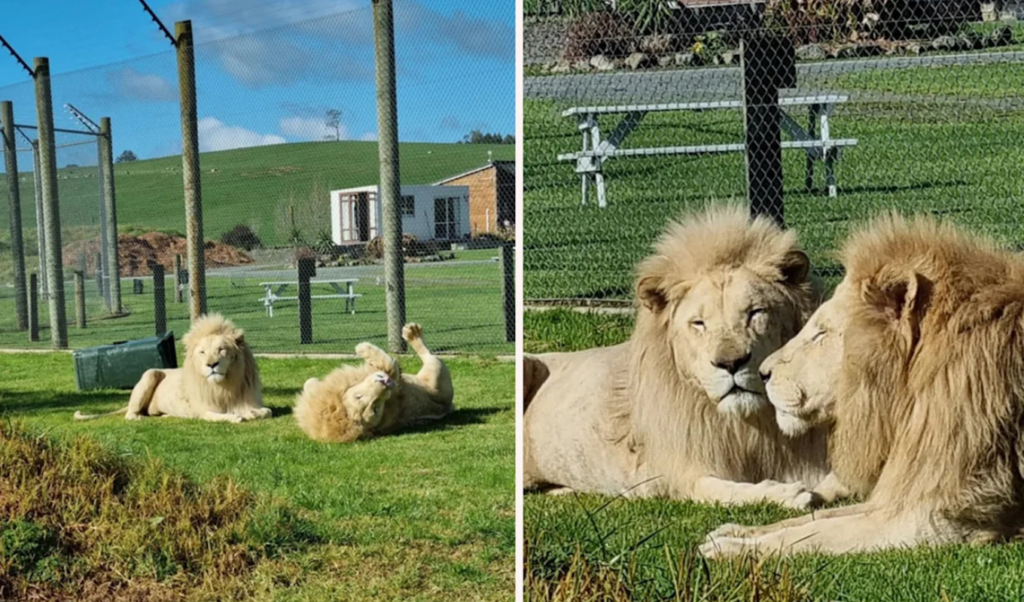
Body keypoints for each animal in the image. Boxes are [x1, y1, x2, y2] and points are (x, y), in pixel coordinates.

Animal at [73, 314, 270, 424]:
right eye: (202, 352)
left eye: (221, 349)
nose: (211, 365)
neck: (223, 385)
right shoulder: (202, 409)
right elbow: (218, 415)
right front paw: (236, 417)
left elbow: (266, 411)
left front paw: (251, 413)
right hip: (150, 374)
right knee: (130, 414)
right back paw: (138, 417)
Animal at [294, 323, 454, 443]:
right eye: (375, 408)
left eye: (358, 396)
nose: (385, 384)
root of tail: (447, 407)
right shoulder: (395, 382)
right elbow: (391, 365)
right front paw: (363, 347)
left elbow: (308, 383)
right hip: (436, 371)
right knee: (429, 355)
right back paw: (412, 332)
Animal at [524, 205, 841, 509]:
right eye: (698, 323)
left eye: (755, 312)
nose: (730, 363)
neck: (748, 426)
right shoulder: (676, 474)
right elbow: (721, 490)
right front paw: (785, 493)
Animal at [702, 213, 1024, 558]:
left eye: (821, 332)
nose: (762, 372)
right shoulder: (901, 493)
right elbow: (815, 518)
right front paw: (736, 531)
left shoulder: (934, 519)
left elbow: (813, 534)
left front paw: (729, 549)